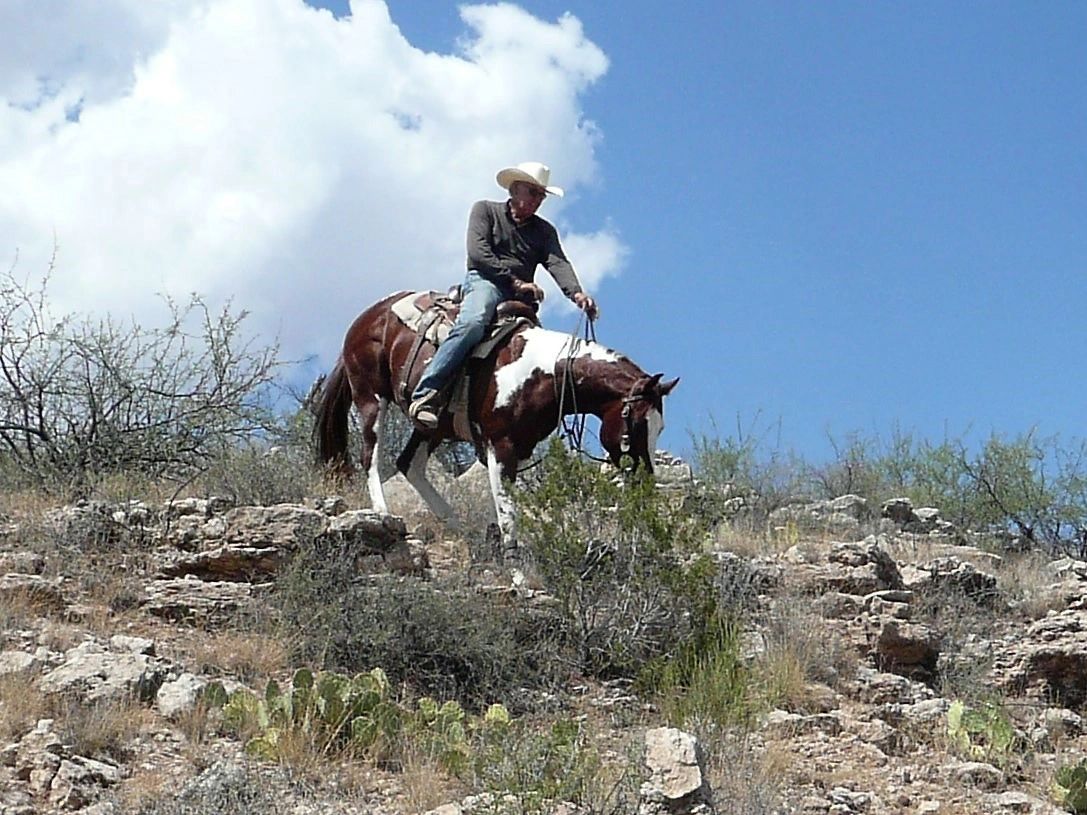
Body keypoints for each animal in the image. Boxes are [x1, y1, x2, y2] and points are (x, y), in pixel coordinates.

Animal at [310, 291, 673, 552]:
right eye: (638, 424)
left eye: (660, 427)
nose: (646, 478)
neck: (545, 375)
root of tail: (369, 316)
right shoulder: (500, 449)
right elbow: (509, 518)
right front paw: (521, 579)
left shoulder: (517, 450)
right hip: (371, 398)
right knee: (370, 457)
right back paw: (384, 513)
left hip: (433, 425)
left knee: (409, 463)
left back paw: (460, 528)